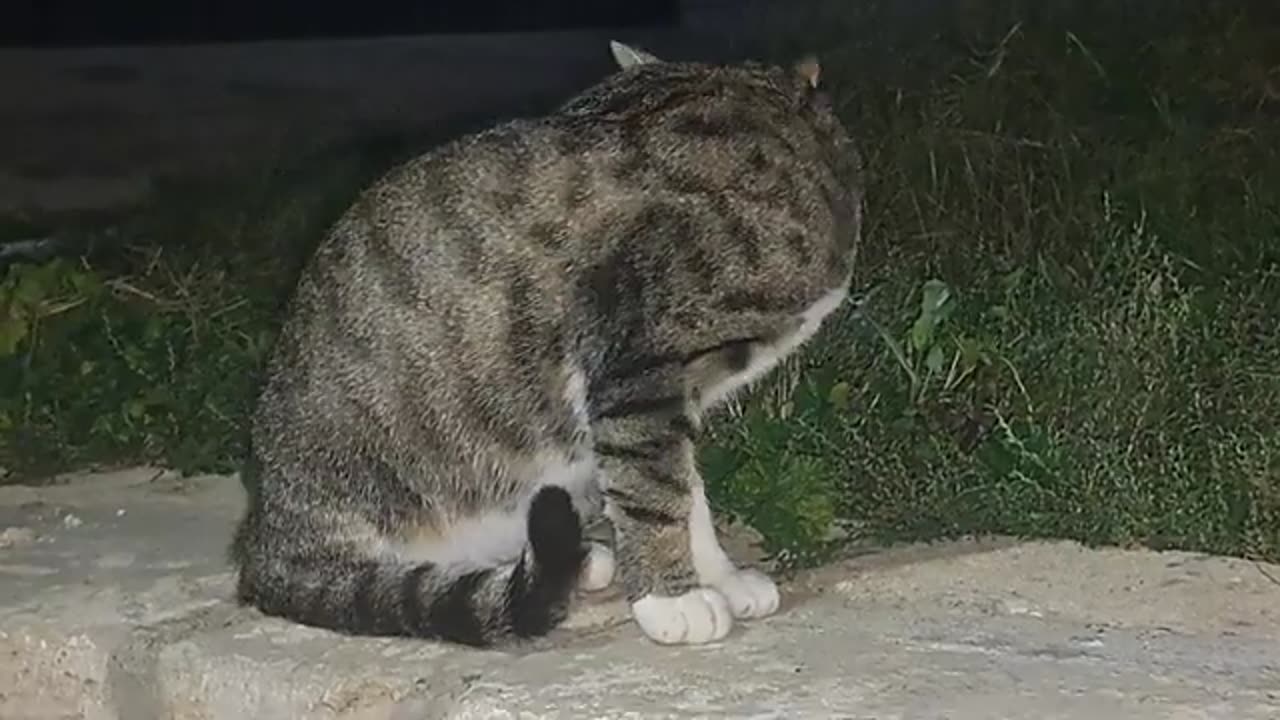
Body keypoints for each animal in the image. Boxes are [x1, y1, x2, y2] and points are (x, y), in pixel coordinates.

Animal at [234, 39, 865, 645]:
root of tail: (265, 545)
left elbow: (688, 492)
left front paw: (722, 577)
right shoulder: (638, 371)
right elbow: (655, 489)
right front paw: (672, 600)